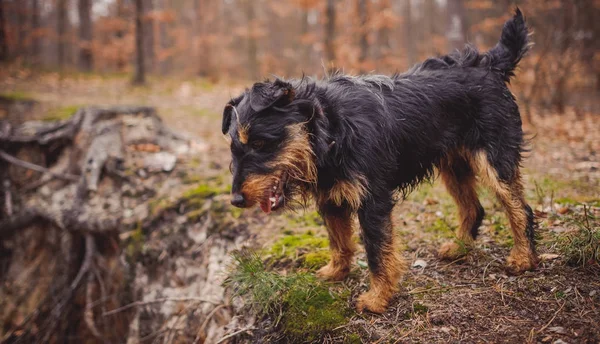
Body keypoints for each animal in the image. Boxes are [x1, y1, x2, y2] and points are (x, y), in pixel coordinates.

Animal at [223, 8, 536, 314]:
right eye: (234, 149)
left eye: (260, 144)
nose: (236, 200)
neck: (330, 131)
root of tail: (488, 64)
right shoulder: (330, 198)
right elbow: (339, 240)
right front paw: (336, 271)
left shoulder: (373, 201)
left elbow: (376, 250)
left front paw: (378, 298)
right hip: (454, 165)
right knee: (474, 208)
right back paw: (460, 248)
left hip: (495, 160)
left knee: (520, 208)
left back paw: (523, 258)